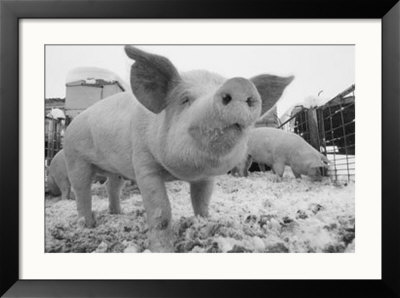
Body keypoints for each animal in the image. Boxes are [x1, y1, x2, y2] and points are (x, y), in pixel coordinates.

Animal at [62, 46, 294, 251]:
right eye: (185, 99)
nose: (239, 83)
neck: (182, 173)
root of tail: (71, 125)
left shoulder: (206, 177)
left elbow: (202, 203)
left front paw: (203, 225)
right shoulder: (143, 162)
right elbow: (161, 211)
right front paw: (162, 249)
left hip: (114, 169)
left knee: (112, 186)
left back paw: (117, 214)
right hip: (75, 159)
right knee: (82, 191)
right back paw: (88, 225)